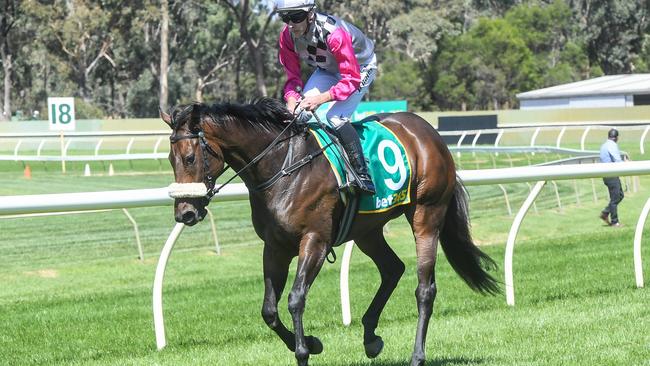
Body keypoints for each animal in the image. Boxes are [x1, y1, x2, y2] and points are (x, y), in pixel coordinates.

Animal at [161, 98, 496, 366]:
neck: (283, 167)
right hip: (368, 230)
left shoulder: (315, 241)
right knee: (392, 268)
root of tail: (429, 132)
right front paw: (311, 343)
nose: (185, 213)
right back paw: (371, 336)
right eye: (169, 159)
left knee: (425, 289)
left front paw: (304, 350)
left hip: (427, 214)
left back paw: (417, 355)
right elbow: (269, 310)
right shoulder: (275, 246)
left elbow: (296, 298)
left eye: (189, 157)